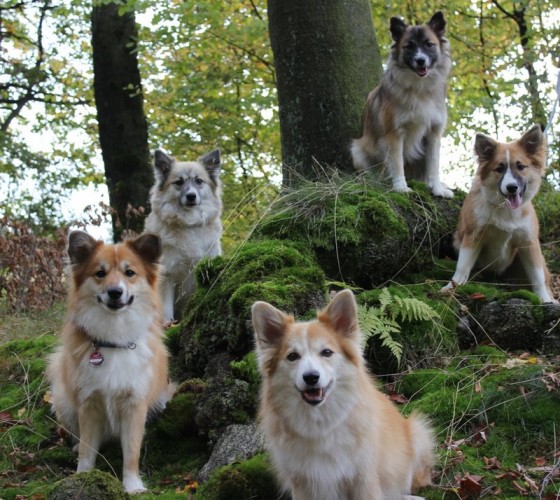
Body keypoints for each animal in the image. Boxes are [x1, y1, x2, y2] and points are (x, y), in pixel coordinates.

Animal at [49, 230, 174, 492]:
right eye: (100, 273)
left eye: (130, 273)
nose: (115, 292)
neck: (114, 339)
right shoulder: (89, 403)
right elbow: (87, 451)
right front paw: (82, 478)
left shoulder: (134, 405)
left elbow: (132, 452)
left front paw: (133, 485)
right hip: (63, 399)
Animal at [143, 148, 222, 322]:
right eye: (179, 182)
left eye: (199, 181)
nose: (191, 196)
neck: (188, 224)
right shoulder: (166, 274)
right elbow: (166, 309)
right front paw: (168, 324)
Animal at [253, 292, 434, 498]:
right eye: (292, 356)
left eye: (326, 352)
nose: (311, 377)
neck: (321, 424)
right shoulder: (302, 484)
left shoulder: (364, 479)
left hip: (418, 433)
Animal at [352, 11, 452, 197]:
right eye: (408, 46)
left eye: (429, 44)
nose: (420, 60)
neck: (420, 89)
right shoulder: (395, 133)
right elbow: (397, 162)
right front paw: (400, 187)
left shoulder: (434, 132)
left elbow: (433, 165)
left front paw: (437, 189)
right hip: (357, 149)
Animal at [442, 125, 556, 302]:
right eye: (499, 168)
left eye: (520, 166)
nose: (512, 187)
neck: (505, 209)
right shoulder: (473, 235)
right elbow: (462, 266)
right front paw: (453, 286)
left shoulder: (529, 242)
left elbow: (537, 277)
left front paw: (544, 299)